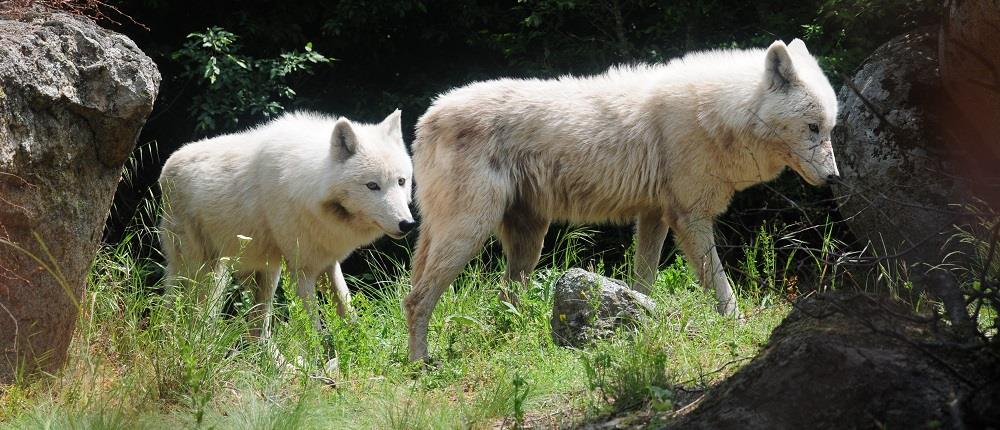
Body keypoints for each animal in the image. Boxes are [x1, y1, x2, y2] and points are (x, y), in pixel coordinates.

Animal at [159, 108, 414, 336]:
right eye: (372, 185)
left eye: (401, 181)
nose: (407, 224)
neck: (308, 184)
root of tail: (167, 165)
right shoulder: (301, 271)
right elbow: (313, 332)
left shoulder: (328, 263)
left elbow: (350, 315)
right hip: (202, 273)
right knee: (184, 313)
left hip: (262, 273)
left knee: (256, 332)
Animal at [402, 40, 840, 362]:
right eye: (813, 128)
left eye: (830, 128)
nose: (835, 178)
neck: (719, 113)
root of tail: (427, 117)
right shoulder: (691, 218)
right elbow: (721, 286)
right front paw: (739, 328)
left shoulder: (655, 217)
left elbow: (643, 281)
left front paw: (639, 320)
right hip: (471, 232)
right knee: (416, 299)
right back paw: (420, 364)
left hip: (527, 242)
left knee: (502, 300)